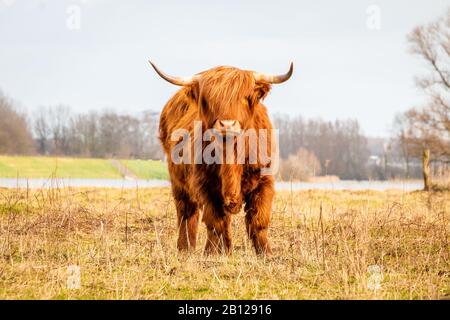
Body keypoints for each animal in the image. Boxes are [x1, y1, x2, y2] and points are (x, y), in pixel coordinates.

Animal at [149, 60, 294, 255]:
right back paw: (185, 249)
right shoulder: (205, 186)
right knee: (187, 214)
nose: (227, 124)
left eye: (245, 96)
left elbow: (258, 221)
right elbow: (215, 221)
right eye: (209, 100)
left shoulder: (264, 182)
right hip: (179, 183)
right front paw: (211, 253)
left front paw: (266, 254)